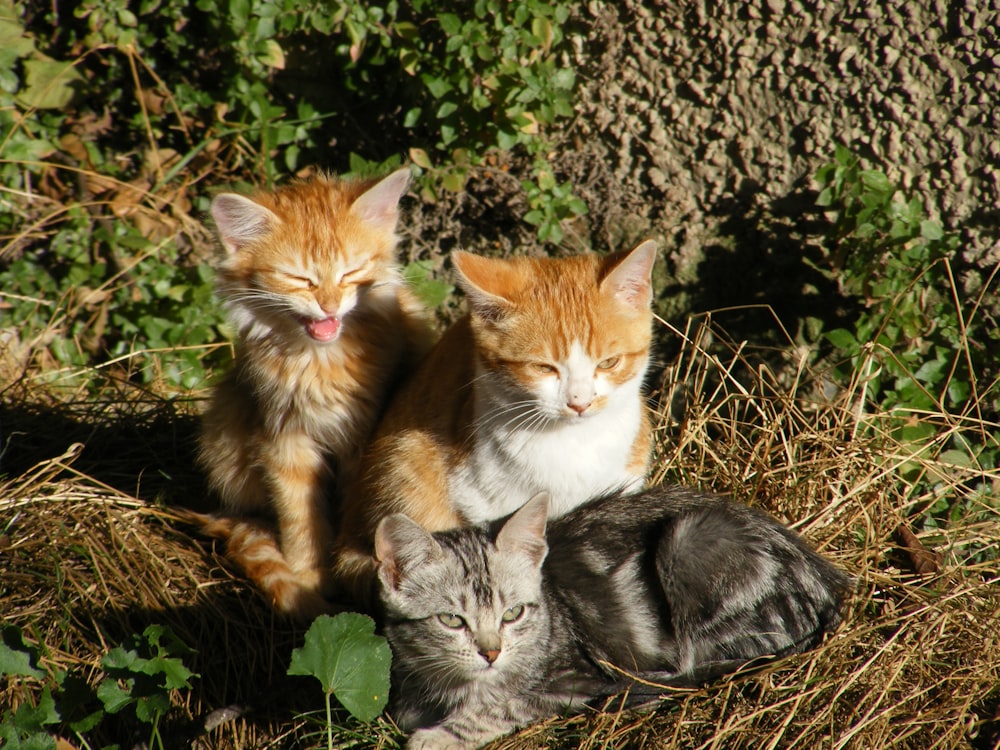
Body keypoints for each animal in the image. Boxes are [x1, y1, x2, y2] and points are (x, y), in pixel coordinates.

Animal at [198, 170, 434, 624]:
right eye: (299, 279)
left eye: (351, 273)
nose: (329, 306)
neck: (318, 363)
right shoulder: (281, 437)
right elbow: (297, 516)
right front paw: (308, 575)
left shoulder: (362, 439)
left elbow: (351, 510)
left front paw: (342, 566)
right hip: (226, 422)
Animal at [376, 484, 852, 748]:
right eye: (452, 620)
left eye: (512, 613)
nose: (491, 653)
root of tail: (829, 580)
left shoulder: (575, 679)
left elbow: (506, 703)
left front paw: (440, 736)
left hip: (690, 541)